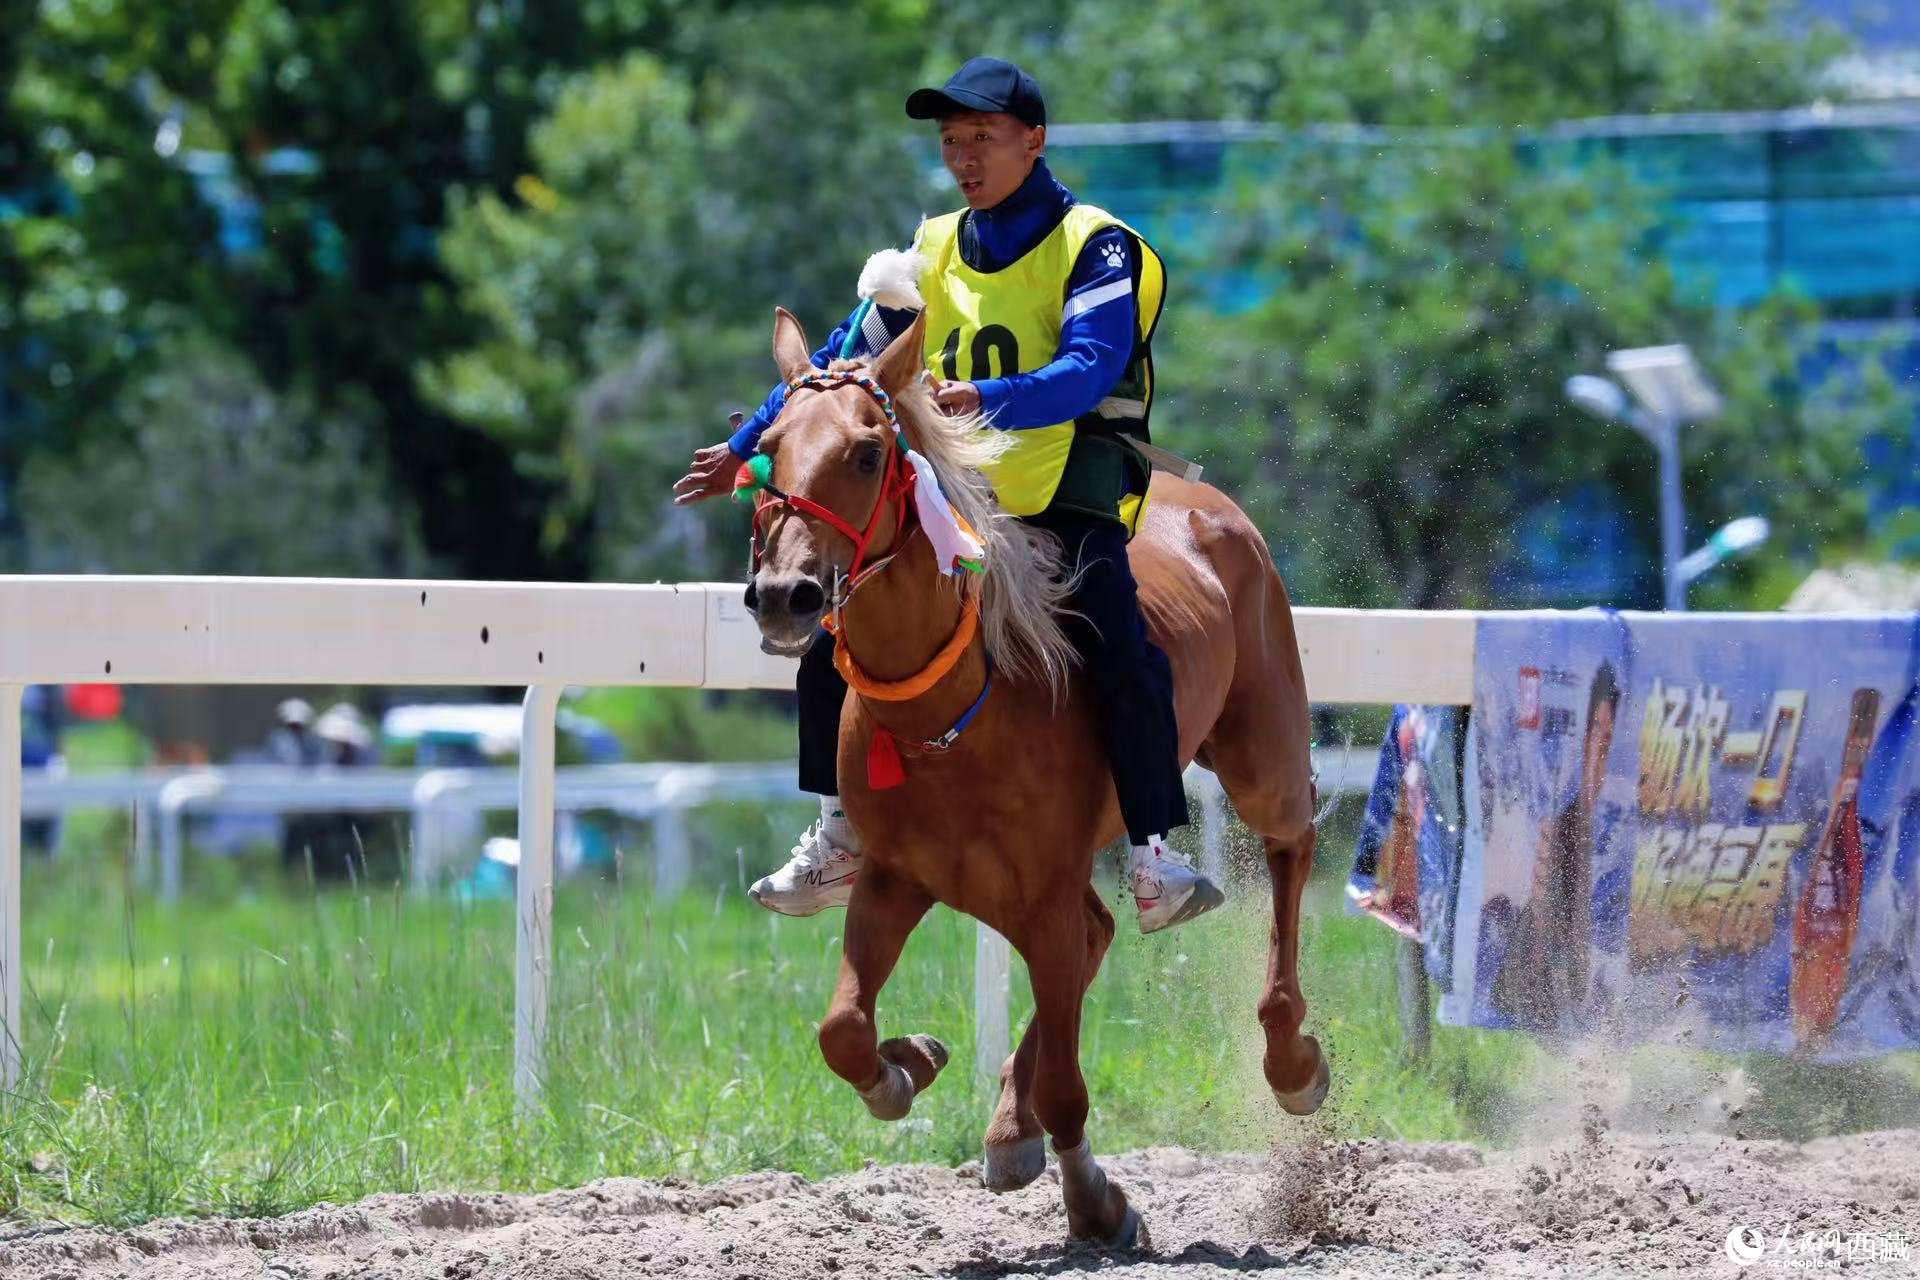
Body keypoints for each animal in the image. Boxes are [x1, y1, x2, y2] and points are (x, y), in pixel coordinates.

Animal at [743, 305, 1326, 1248]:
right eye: (766, 446)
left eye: (868, 452)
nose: (783, 594)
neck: (949, 714)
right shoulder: (895, 881)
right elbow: (843, 1028)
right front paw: (907, 1065)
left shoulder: (1042, 899)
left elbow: (1067, 1087)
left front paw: (1097, 1203)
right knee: (1099, 935)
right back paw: (1006, 1128)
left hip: (1261, 755)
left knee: (1290, 845)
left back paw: (1291, 1057)